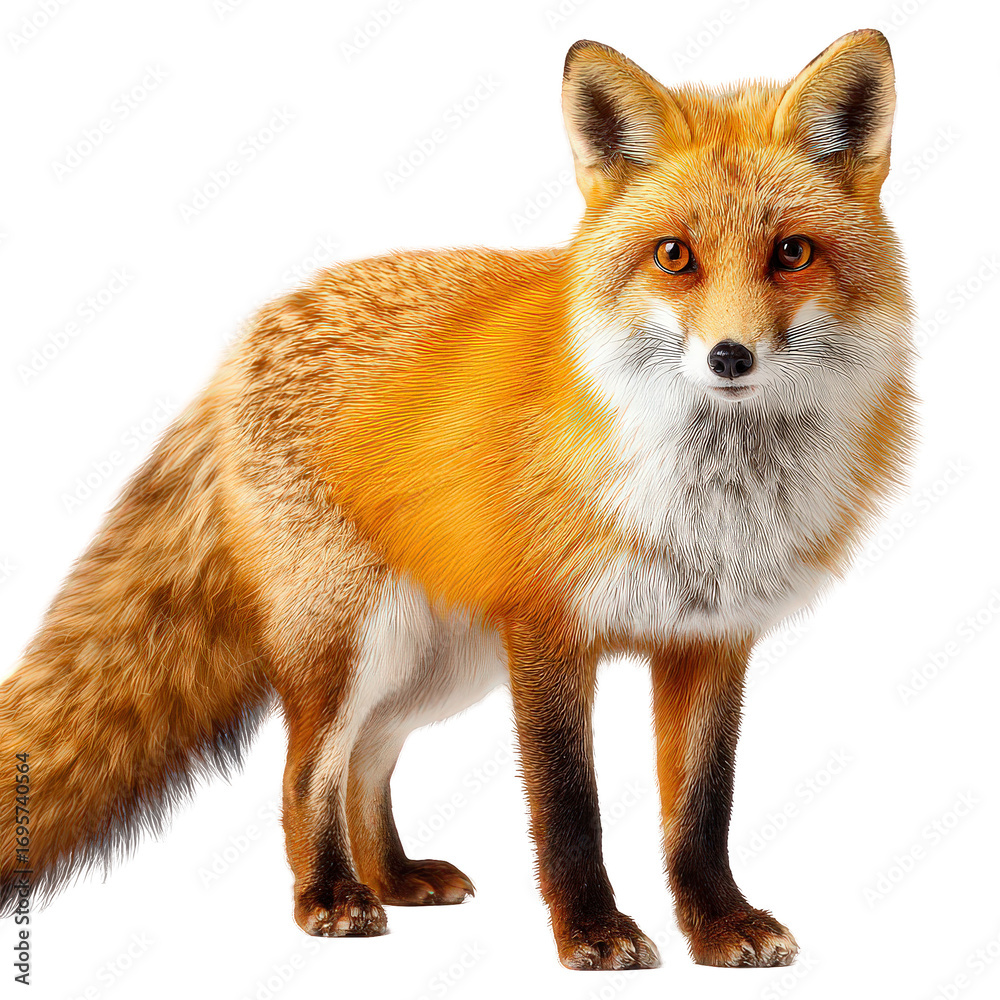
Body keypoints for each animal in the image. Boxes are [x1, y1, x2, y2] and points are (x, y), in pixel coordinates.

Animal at [0, 29, 914, 970]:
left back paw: (393, 877)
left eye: (793, 253)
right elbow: (568, 808)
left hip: (438, 664)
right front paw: (593, 933)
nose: (730, 356)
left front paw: (720, 925)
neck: (710, 499)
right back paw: (329, 897)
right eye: (674, 255)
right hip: (351, 643)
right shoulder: (548, 631)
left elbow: (702, 811)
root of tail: (252, 332)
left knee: (366, 759)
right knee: (304, 770)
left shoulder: (711, 639)